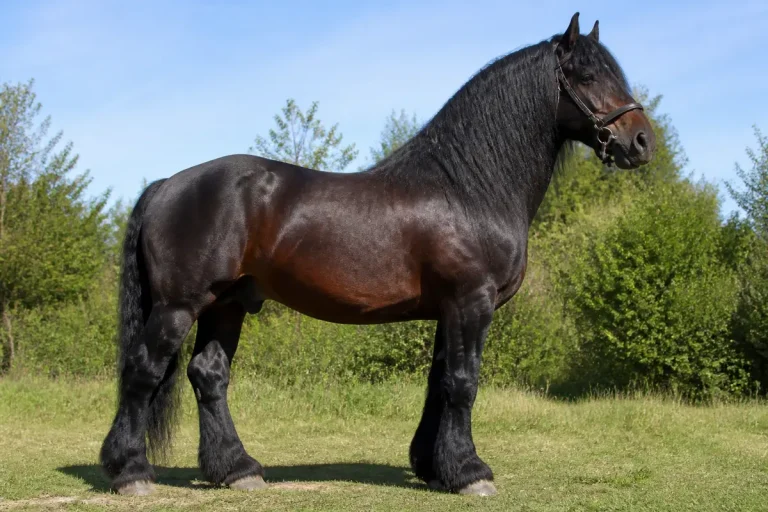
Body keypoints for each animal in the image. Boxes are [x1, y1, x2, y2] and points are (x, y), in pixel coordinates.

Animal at [100, 12, 655, 497]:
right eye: (587, 74)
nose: (641, 141)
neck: (469, 187)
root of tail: (167, 184)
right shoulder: (471, 302)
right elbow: (463, 382)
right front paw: (470, 473)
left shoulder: (449, 310)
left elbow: (439, 382)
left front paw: (434, 467)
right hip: (179, 306)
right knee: (144, 370)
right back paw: (132, 473)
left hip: (227, 305)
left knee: (209, 376)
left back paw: (237, 470)